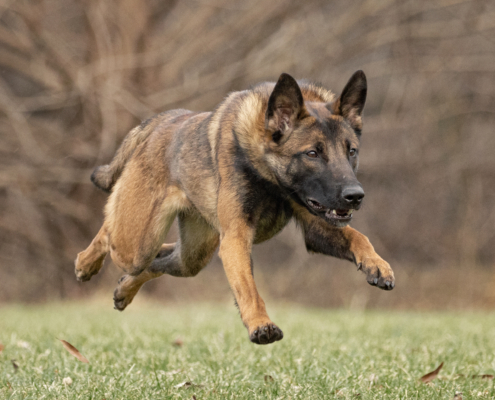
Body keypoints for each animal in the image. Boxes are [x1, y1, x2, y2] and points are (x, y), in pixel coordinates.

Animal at [75, 71, 398, 344]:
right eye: (312, 154)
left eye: (351, 151)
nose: (356, 196)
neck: (270, 178)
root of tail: (161, 121)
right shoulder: (236, 238)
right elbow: (248, 287)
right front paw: (260, 324)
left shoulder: (316, 225)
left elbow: (358, 236)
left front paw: (377, 264)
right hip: (137, 242)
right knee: (111, 231)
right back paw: (86, 262)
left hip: (192, 256)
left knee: (160, 259)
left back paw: (124, 289)